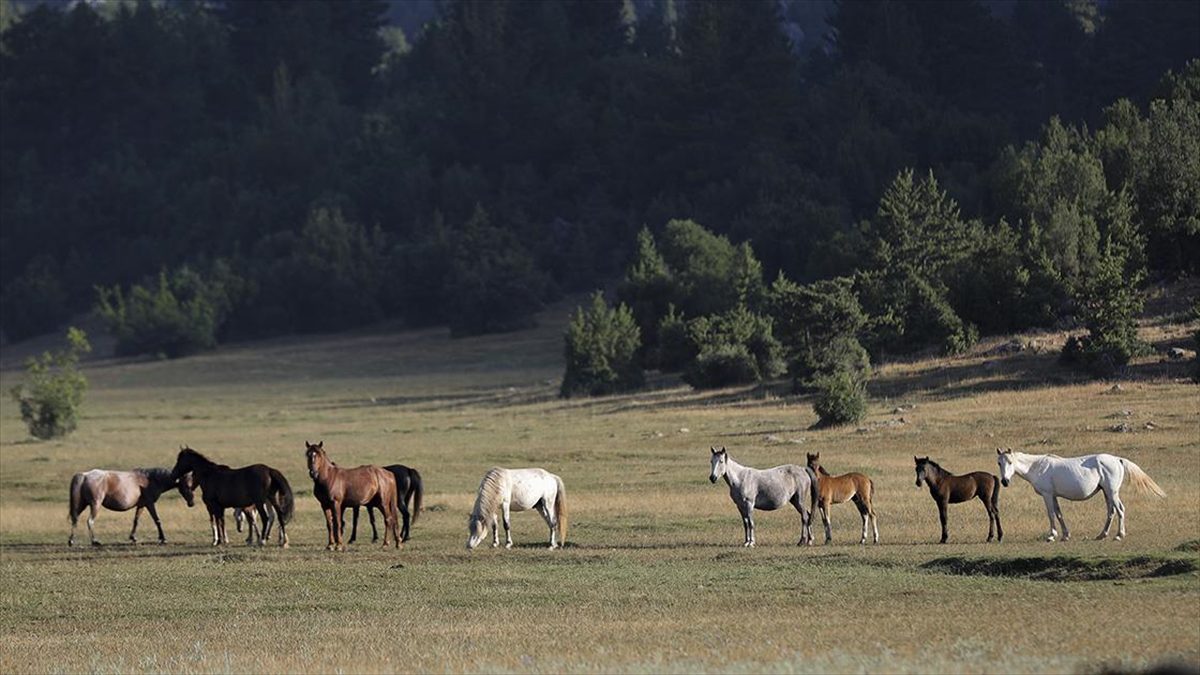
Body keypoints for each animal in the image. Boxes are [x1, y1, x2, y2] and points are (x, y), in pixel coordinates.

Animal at [67, 468, 195, 547]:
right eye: (186, 485)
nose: (192, 503)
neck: (151, 479)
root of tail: (85, 475)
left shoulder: (141, 505)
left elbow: (136, 521)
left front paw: (133, 537)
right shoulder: (150, 504)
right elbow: (157, 520)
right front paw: (163, 538)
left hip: (82, 504)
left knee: (75, 520)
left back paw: (71, 540)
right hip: (95, 505)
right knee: (90, 521)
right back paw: (95, 541)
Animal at [998, 446, 1166, 540]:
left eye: (1010, 462)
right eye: (999, 462)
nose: (1005, 481)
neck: (1038, 466)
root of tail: (1117, 459)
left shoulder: (1047, 495)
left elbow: (1051, 514)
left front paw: (1052, 535)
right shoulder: (1054, 496)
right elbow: (1059, 514)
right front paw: (1065, 535)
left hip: (1112, 492)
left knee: (1120, 509)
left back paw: (1119, 535)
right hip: (1106, 492)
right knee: (1111, 511)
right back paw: (1102, 535)